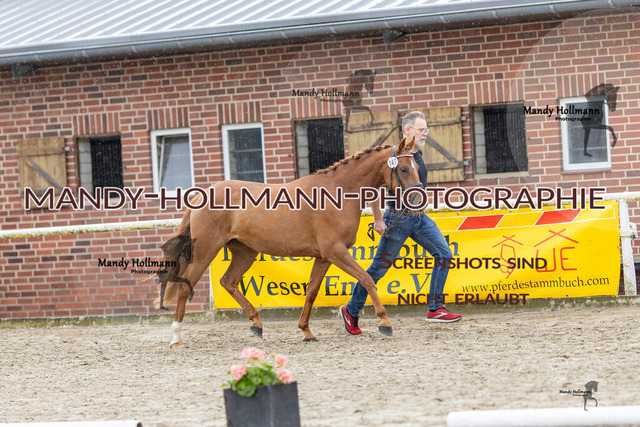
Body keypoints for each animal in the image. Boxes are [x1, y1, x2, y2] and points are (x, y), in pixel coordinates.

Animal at [155, 137, 422, 348]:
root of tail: (202, 194)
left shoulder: (323, 257)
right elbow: (366, 279)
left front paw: (306, 331)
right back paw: (176, 338)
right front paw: (385, 322)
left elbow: (312, 292)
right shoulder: (336, 252)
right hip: (205, 251)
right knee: (185, 287)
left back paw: (257, 324)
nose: (418, 199)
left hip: (245, 252)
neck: (336, 192)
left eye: (417, 166)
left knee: (228, 281)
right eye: (404, 169)